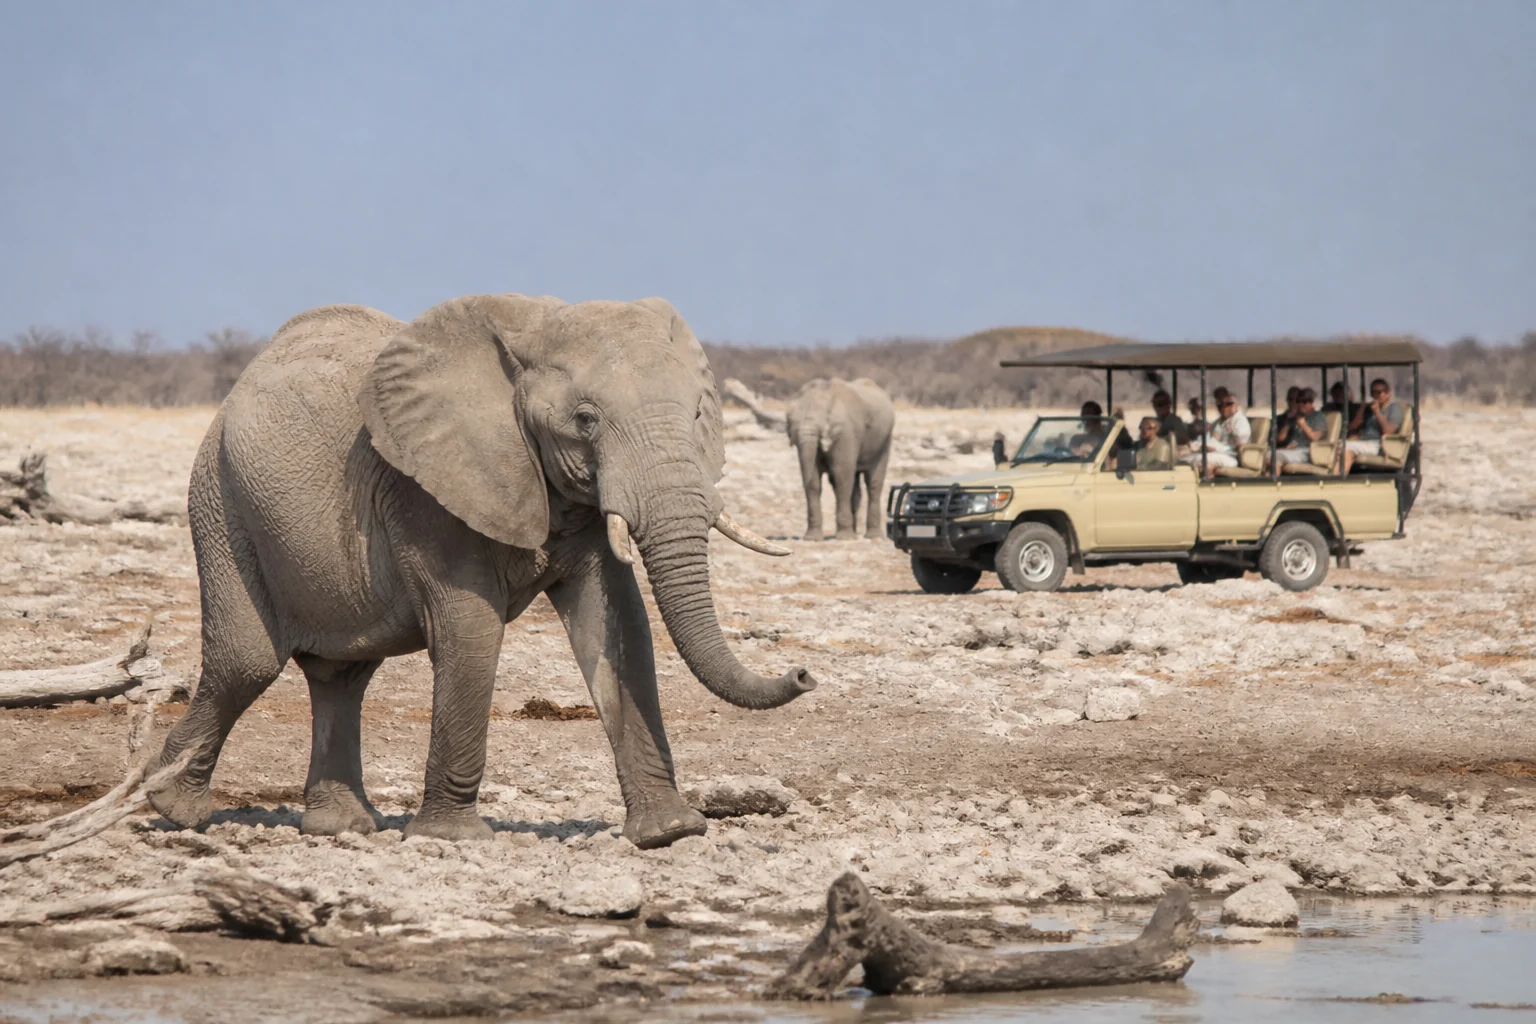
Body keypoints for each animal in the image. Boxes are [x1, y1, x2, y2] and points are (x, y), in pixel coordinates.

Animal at [148, 294, 817, 850]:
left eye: (700, 413)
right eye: (586, 419)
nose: (804, 673)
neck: (534, 328)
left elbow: (618, 624)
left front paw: (669, 834)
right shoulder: (429, 490)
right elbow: (471, 628)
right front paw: (452, 839)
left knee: (343, 674)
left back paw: (341, 826)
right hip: (220, 499)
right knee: (248, 663)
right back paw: (169, 806)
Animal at [784, 378, 895, 540]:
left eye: (822, 424)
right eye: (790, 421)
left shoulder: (846, 433)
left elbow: (842, 477)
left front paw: (844, 537)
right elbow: (815, 482)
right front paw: (812, 538)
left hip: (885, 440)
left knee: (873, 483)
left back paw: (872, 536)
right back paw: (854, 532)